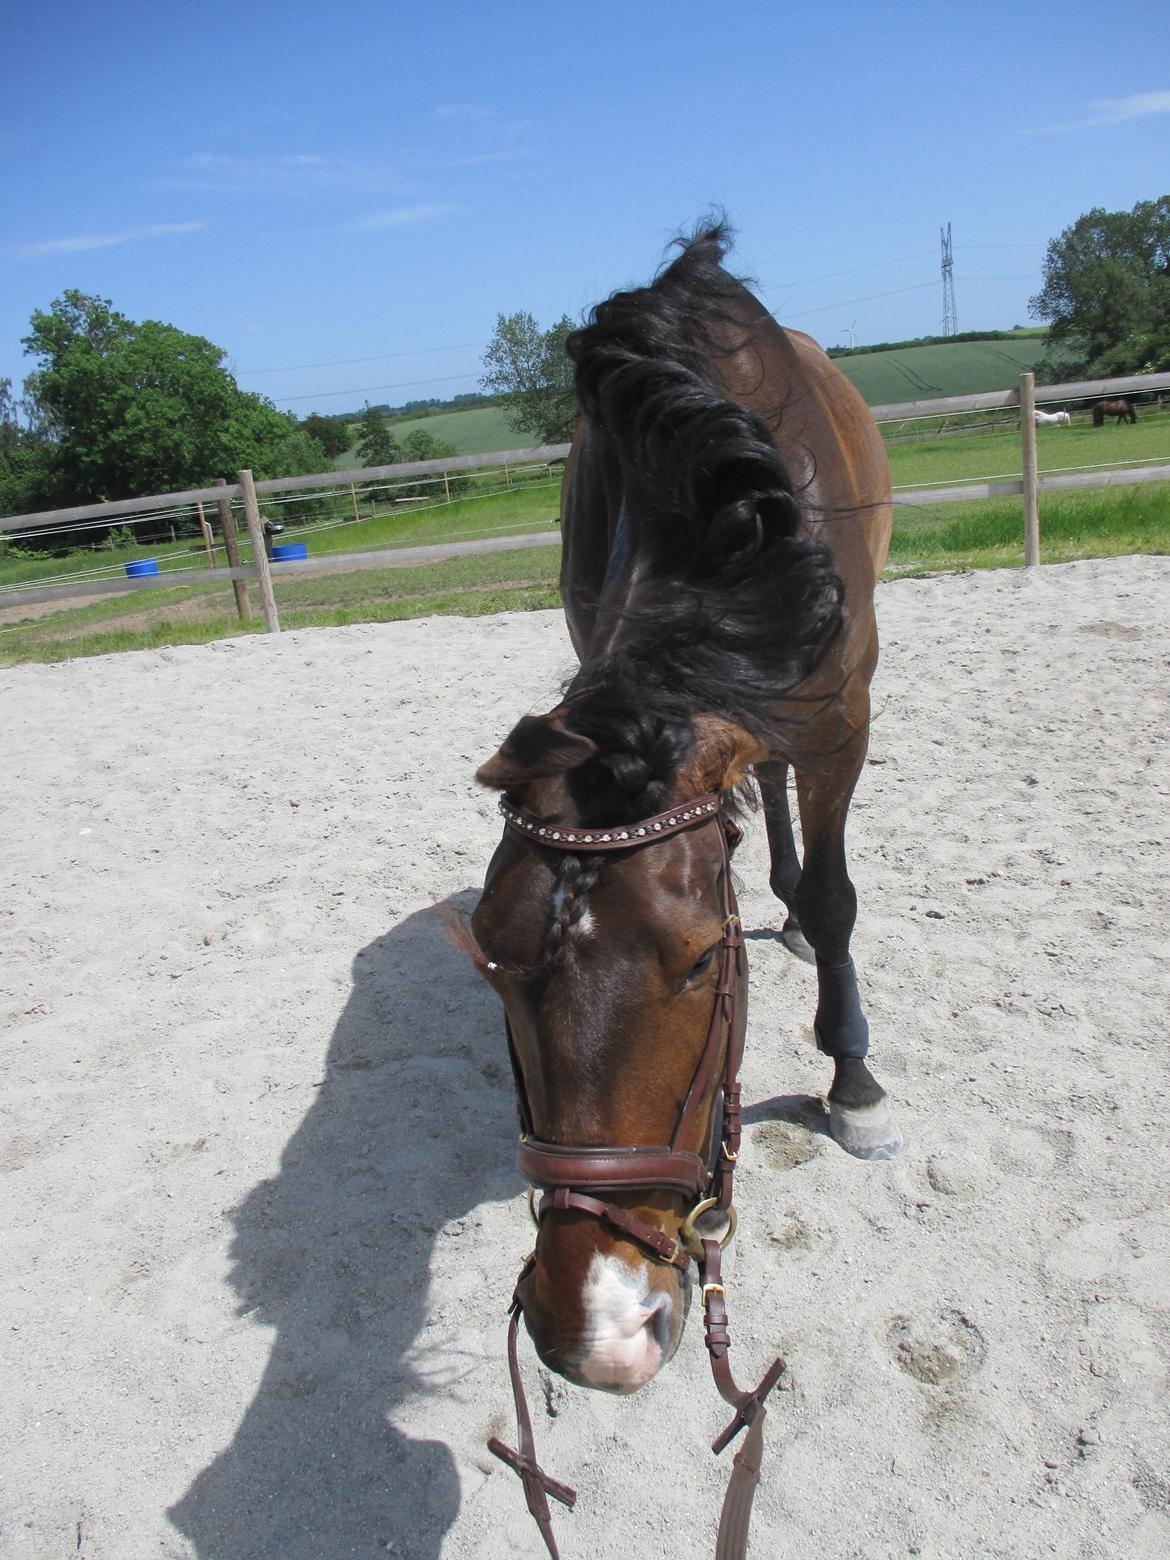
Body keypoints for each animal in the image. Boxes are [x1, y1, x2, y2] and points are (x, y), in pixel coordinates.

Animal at [461, 226, 904, 1553]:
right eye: (490, 962)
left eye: (706, 958)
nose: (591, 1331)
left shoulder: (840, 710)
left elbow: (840, 897)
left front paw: (853, 1078)